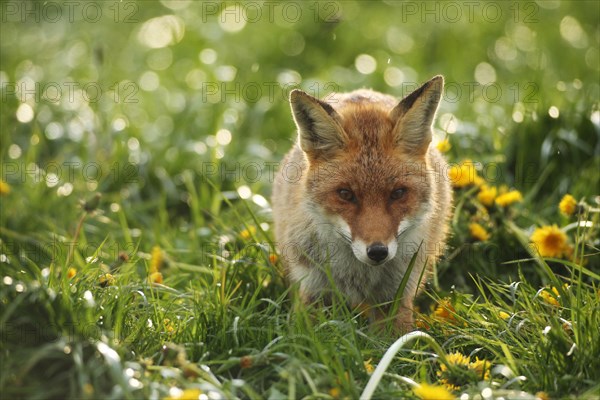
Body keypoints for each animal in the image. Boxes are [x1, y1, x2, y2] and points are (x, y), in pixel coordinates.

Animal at [270, 76, 450, 332]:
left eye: (398, 193)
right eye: (346, 194)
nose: (377, 252)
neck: (359, 276)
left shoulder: (396, 293)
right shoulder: (314, 287)